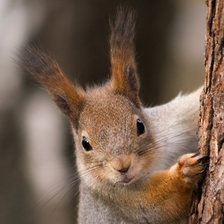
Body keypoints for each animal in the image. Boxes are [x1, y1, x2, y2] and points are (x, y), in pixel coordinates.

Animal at [22, 7, 206, 224]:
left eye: (140, 125)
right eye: (85, 143)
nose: (122, 167)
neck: (149, 165)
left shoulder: (170, 122)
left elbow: (191, 108)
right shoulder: (117, 197)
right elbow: (158, 203)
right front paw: (183, 173)